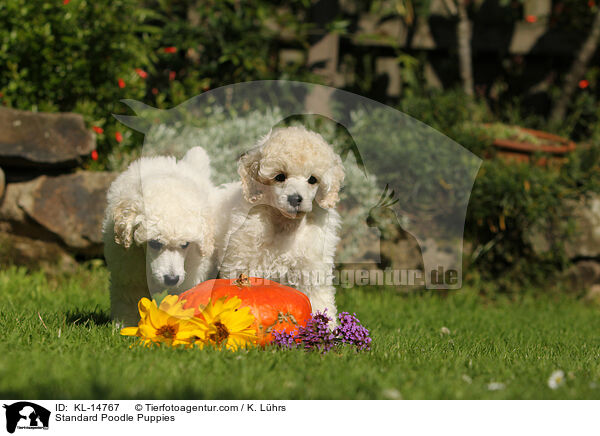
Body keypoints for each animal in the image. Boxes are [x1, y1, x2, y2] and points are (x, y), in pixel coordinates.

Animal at [103, 148, 216, 326]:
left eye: (185, 244)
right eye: (154, 243)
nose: (171, 279)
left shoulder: (192, 271)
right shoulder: (128, 270)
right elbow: (129, 299)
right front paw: (126, 325)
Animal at [218, 126, 344, 320]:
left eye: (312, 180)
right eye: (279, 177)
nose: (295, 199)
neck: (286, 224)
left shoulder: (312, 269)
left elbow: (319, 301)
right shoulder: (243, 260)